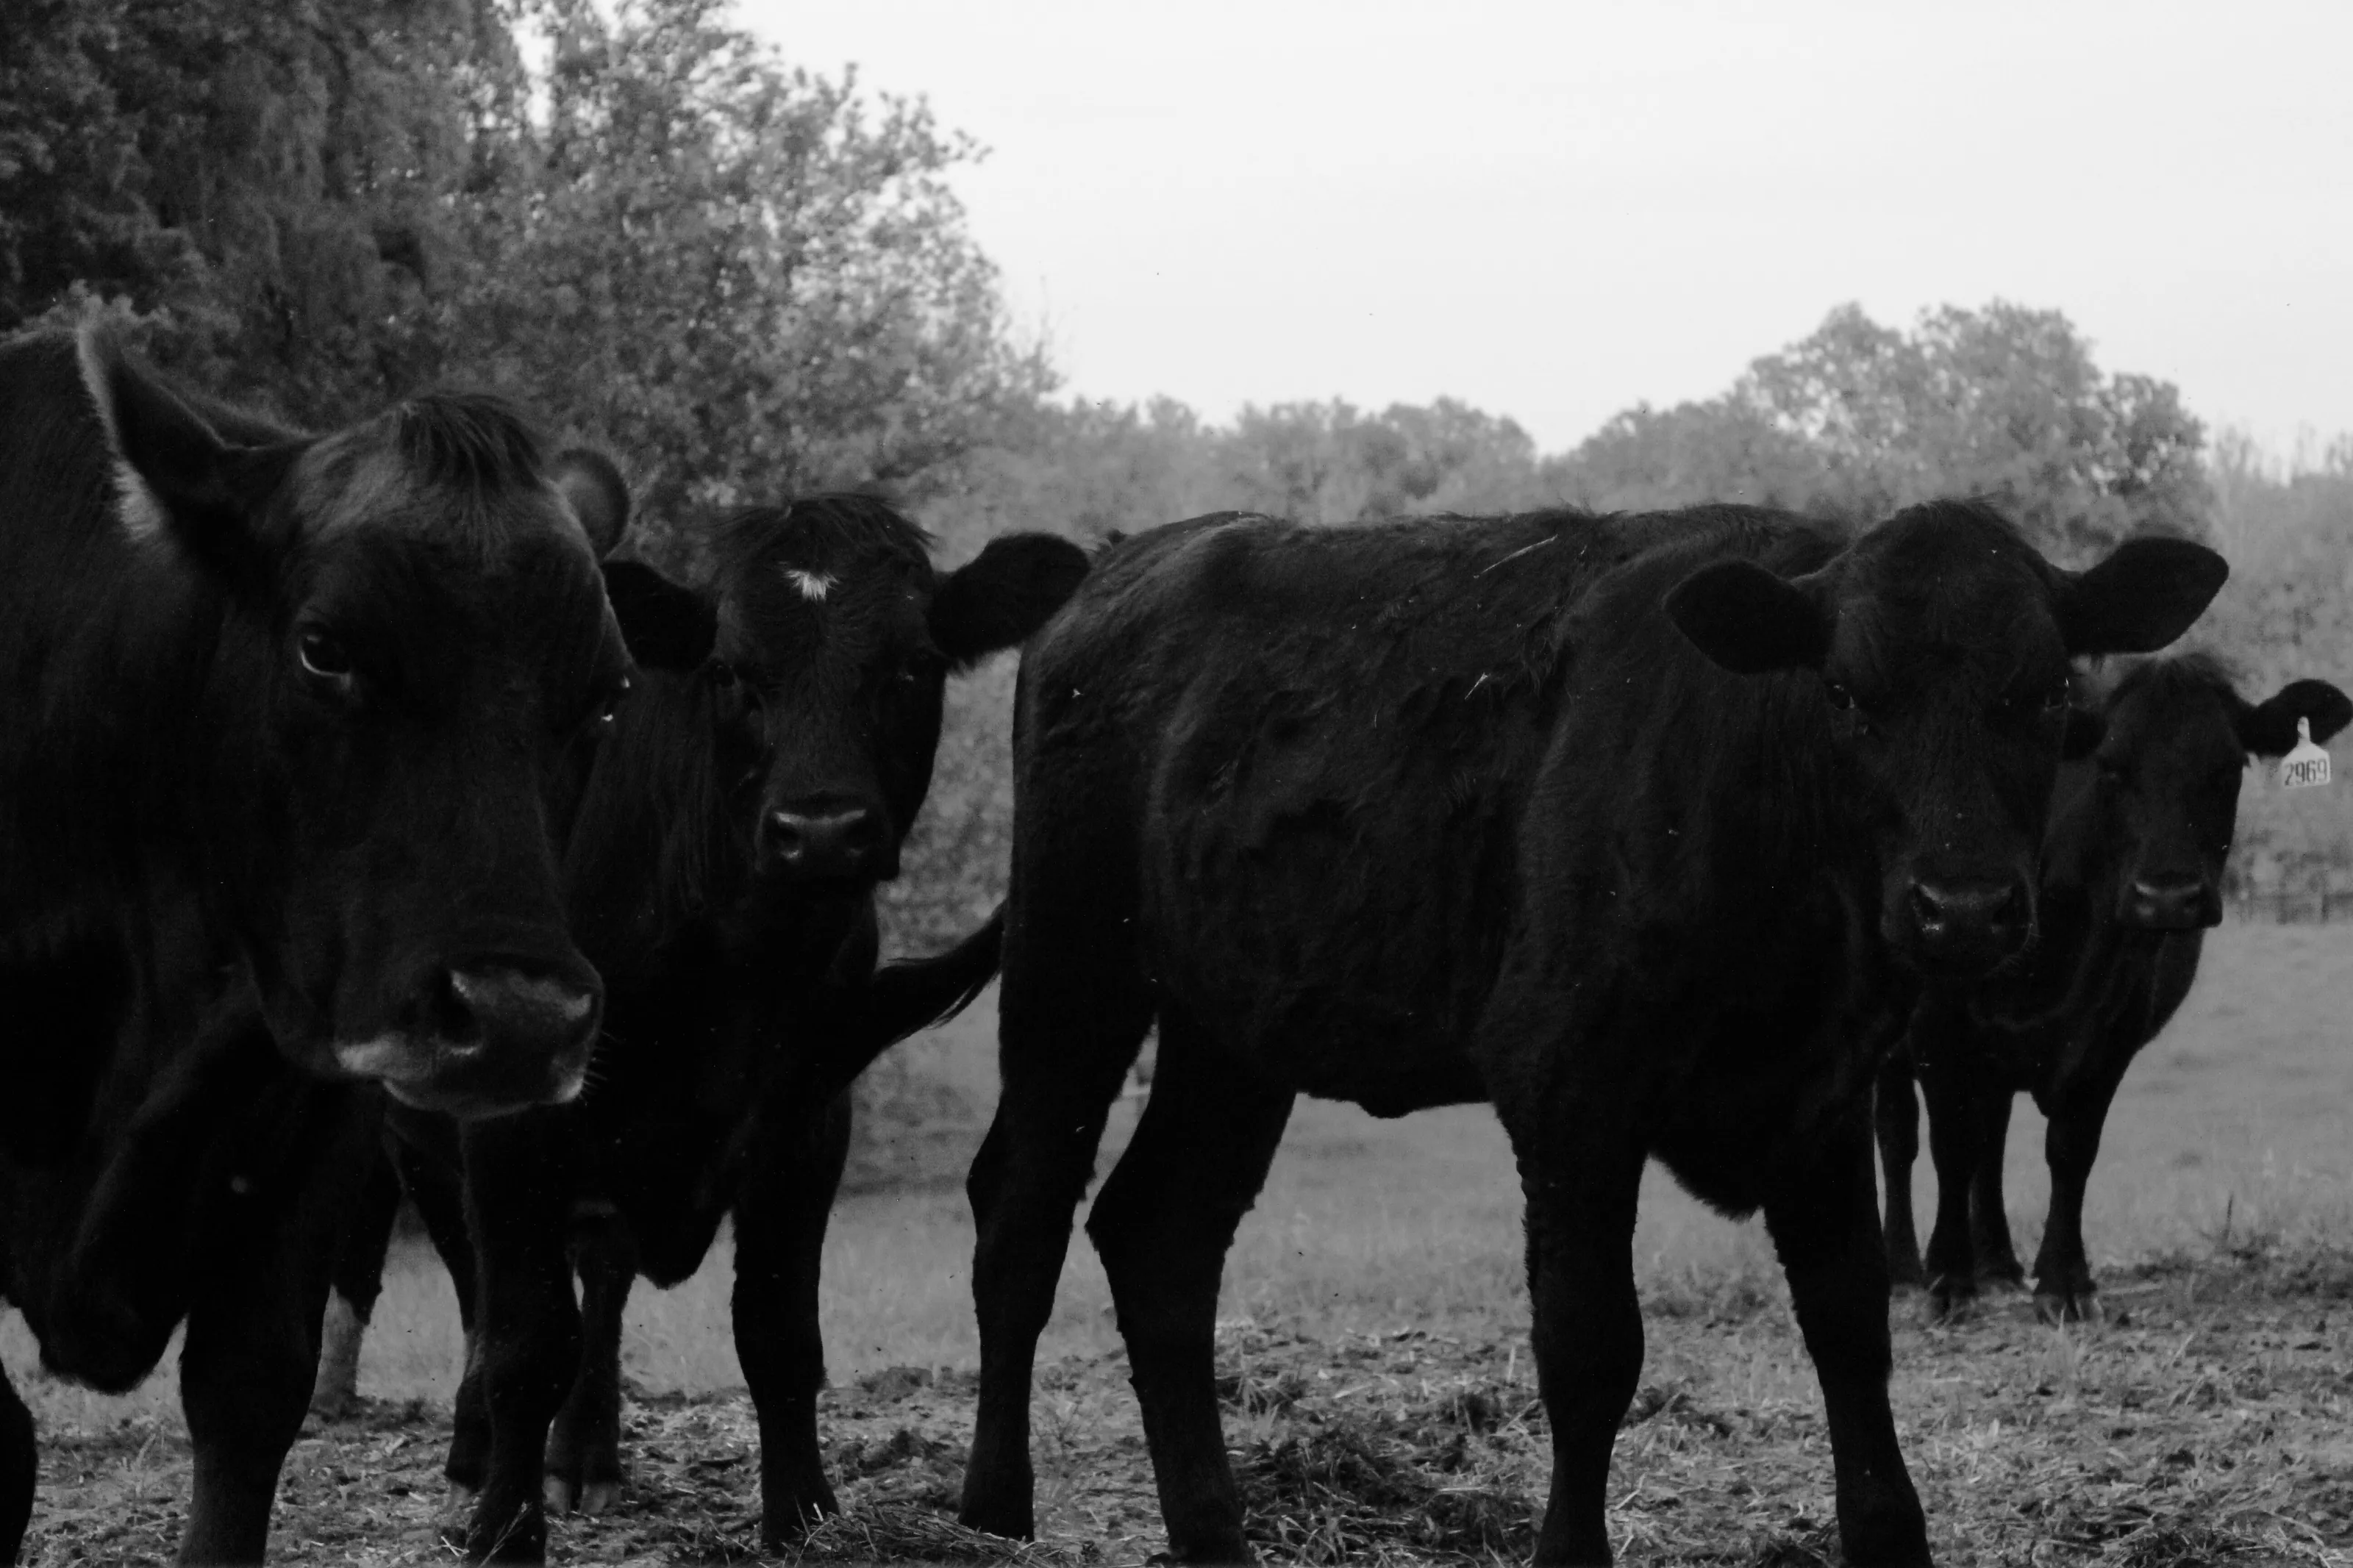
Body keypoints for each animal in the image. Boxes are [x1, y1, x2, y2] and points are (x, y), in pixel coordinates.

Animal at [430, 496, 1087, 1563]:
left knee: (601, 1275)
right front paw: (502, 1527)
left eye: (912, 664)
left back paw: (587, 1454)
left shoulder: (806, 1118)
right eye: (730, 671)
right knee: (481, 1294)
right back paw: (477, 1452)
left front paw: (803, 1516)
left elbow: (777, 1333)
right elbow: (525, 1340)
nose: (820, 831)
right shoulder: (513, 1123)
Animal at [954, 501, 2225, 1566]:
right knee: (1022, 1211)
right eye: (1848, 695)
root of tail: (1126, 558)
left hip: (1233, 1031)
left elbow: (1852, 1327)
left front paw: (1889, 1536)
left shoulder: (1820, 1095)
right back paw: (993, 1507)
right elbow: (1590, 1349)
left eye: (2049, 697)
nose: (1963, 907)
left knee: (1160, 1236)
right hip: (1073, 970)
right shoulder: (1568, 1093)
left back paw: (1214, 1531)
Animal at [1878, 653, 2351, 1323]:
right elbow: (1949, 1142)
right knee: (1899, 1133)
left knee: (1992, 1138)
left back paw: (1998, 1263)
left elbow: (2070, 1149)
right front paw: (1947, 1279)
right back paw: (1902, 1268)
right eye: (2111, 767)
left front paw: (2063, 1281)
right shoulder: (1936, 1024)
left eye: (2228, 767)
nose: (2168, 896)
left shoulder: (2114, 1033)